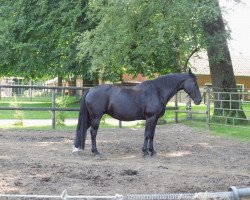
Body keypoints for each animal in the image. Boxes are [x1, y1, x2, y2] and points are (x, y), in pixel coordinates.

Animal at [73, 69, 202, 157]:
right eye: (194, 83)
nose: (199, 100)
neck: (157, 91)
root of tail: (91, 90)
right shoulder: (150, 118)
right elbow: (147, 134)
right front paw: (145, 152)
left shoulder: (155, 119)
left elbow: (152, 135)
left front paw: (152, 151)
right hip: (96, 117)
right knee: (93, 132)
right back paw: (96, 152)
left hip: (91, 118)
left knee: (82, 130)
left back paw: (76, 149)